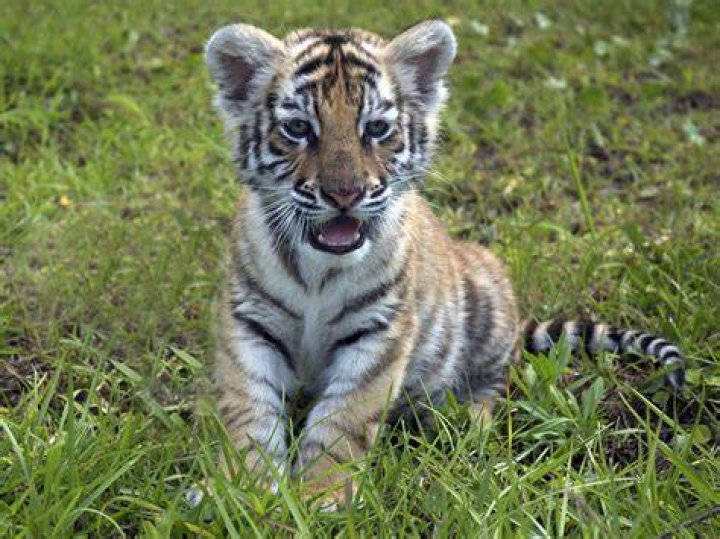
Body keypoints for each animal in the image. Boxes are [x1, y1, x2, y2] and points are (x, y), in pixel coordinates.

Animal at [204, 19, 685, 505]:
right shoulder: (249, 321)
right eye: (299, 128)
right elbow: (247, 410)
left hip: (486, 303)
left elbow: (343, 421)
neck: (319, 269)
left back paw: (467, 424)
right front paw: (244, 492)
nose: (345, 194)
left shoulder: (380, 331)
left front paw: (322, 496)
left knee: (494, 380)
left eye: (376, 129)